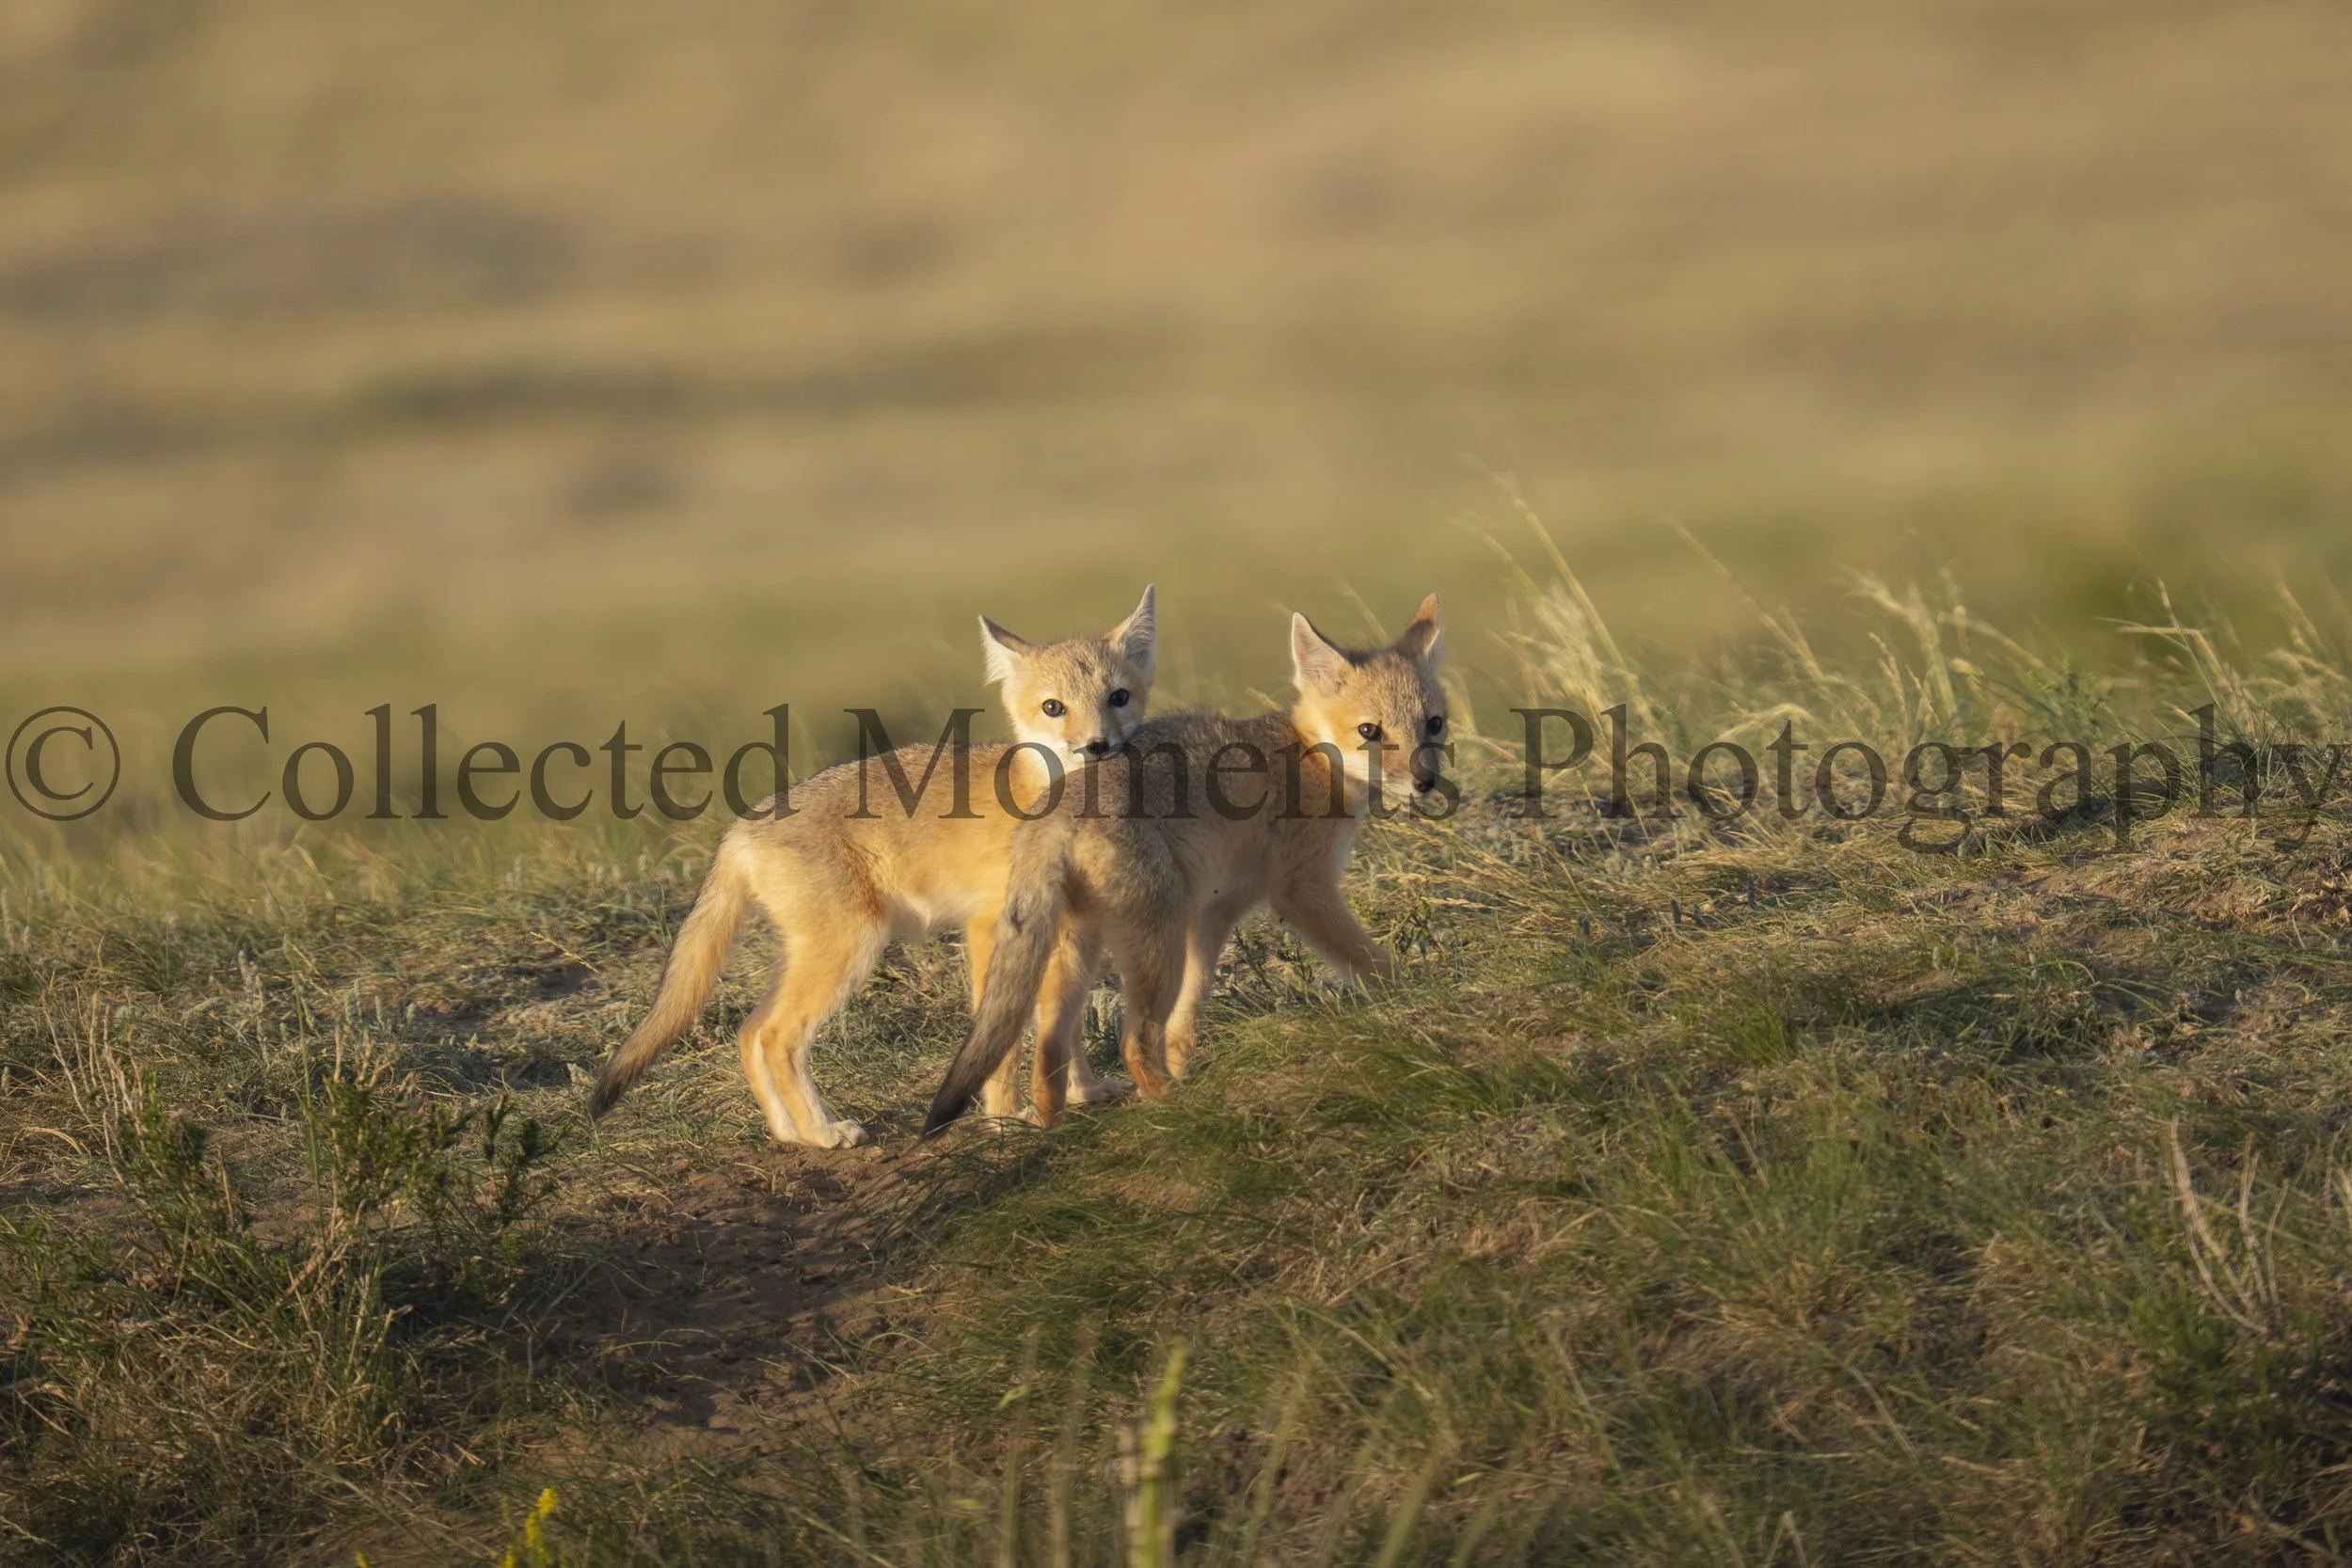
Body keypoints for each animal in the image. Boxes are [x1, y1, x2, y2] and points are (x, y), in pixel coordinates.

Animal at [589, 587, 1158, 1147]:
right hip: (851, 946)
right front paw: (1004, 1119)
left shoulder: (1068, 934)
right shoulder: (989, 929)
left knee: (749, 1033)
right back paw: (822, 1132)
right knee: (775, 1037)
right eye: (1053, 707)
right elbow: (1004, 1038)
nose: (1097, 746)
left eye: (1118, 697)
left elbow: (1063, 1026)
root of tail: (742, 825)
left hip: (815, 954)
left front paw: (1083, 1092)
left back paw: (790, 1134)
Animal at [923, 595, 1449, 1135]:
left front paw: (1181, 1061)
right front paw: (1421, 1000)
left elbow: (1188, 1013)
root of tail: (1055, 811)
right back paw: (1175, 1105)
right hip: (1158, 944)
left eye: (1433, 724)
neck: (1310, 757)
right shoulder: (1302, 892)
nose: (1426, 783)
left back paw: (1056, 1126)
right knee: (1131, 1042)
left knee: (1051, 1048)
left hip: (1089, 948)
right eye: (1370, 731)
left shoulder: (1214, 914)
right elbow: (1376, 964)